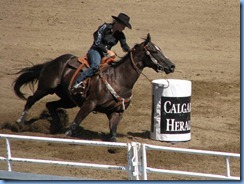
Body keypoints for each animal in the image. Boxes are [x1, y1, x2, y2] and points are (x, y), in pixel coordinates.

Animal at [13, 33, 174, 142]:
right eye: (154, 51)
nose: (172, 66)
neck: (119, 79)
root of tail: (52, 62)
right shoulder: (89, 103)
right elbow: (75, 124)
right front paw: (68, 134)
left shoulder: (116, 112)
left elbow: (113, 135)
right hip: (46, 88)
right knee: (30, 100)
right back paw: (19, 124)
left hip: (68, 99)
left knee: (50, 104)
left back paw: (55, 125)